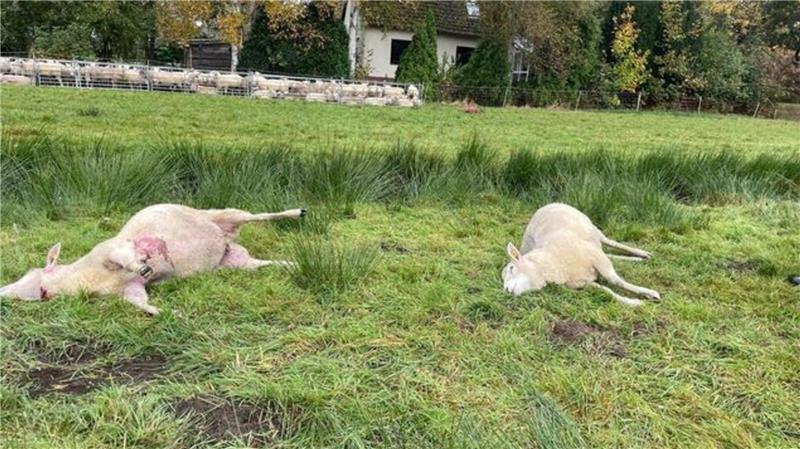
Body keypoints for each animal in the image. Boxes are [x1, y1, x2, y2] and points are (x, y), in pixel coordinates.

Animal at [502, 203, 660, 307]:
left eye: (511, 268)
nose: (506, 290)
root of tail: (548, 204)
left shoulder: (597, 258)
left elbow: (615, 281)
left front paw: (649, 293)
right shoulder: (584, 282)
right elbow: (607, 291)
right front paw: (633, 302)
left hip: (594, 231)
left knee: (613, 243)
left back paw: (642, 253)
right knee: (609, 253)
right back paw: (638, 259)